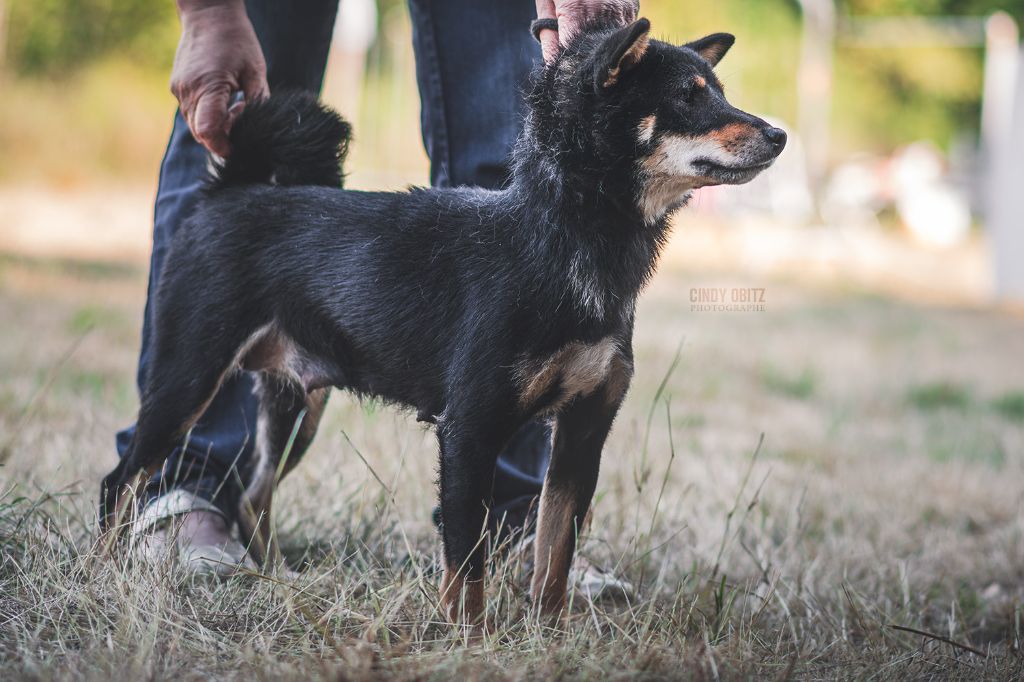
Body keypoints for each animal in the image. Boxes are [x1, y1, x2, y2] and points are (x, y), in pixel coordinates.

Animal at [99, 17, 782, 626]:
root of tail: (232, 191)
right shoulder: (469, 431)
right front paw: (469, 641)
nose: (778, 133)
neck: (560, 235)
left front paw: (549, 639)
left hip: (295, 407)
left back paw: (274, 578)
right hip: (189, 380)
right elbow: (466, 564)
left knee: (251, 493)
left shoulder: (582, 433)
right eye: (687, 97)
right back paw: (101, 573)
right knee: (123, 481)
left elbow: (553, 560)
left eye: (718, 91)